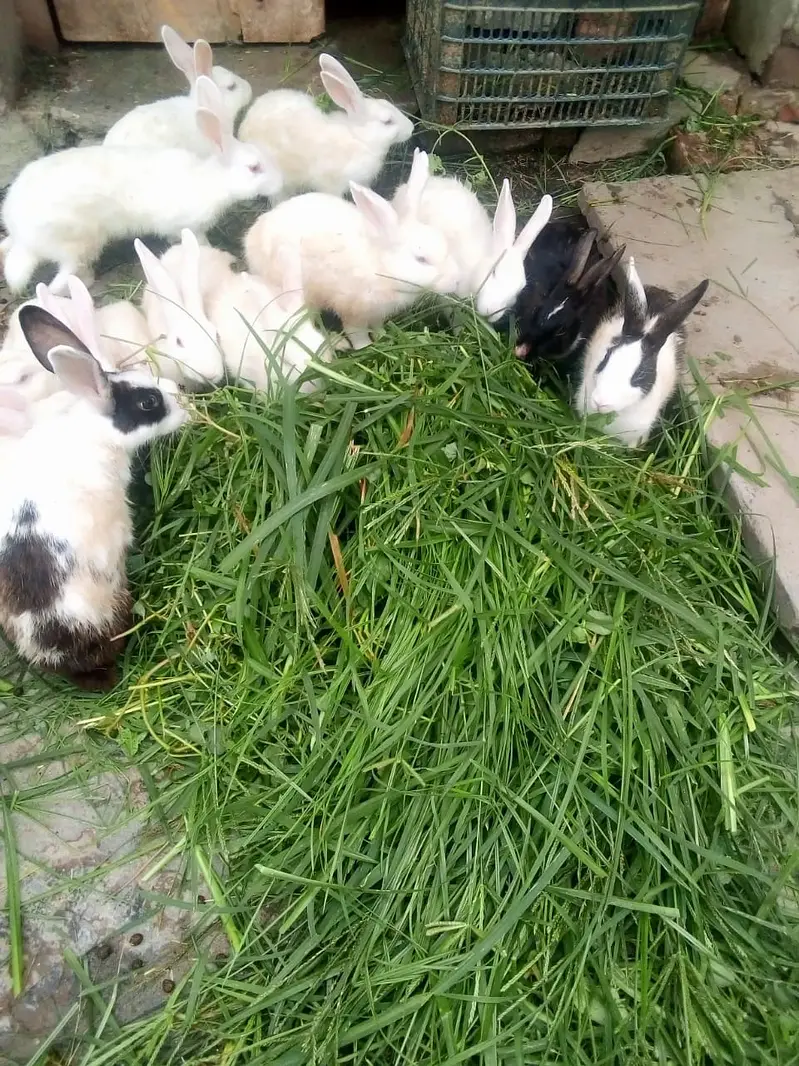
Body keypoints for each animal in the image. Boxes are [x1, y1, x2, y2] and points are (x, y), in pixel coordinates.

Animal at [1, 76, 281, 296]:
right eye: (254, 167)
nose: (279, 183)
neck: (211, 181)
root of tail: (20, 230)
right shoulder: (190, 225)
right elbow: (200, 242)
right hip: (77, 243)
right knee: (61, 277)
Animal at [244, 181, 460, 351]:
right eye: (421, 259)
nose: (456, 281)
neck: (381, 267)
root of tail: (252, 236)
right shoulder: (353, 310)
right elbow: (357, 333)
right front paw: (366, 347)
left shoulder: (377, 313)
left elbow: (377, 325)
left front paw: (384, 336)